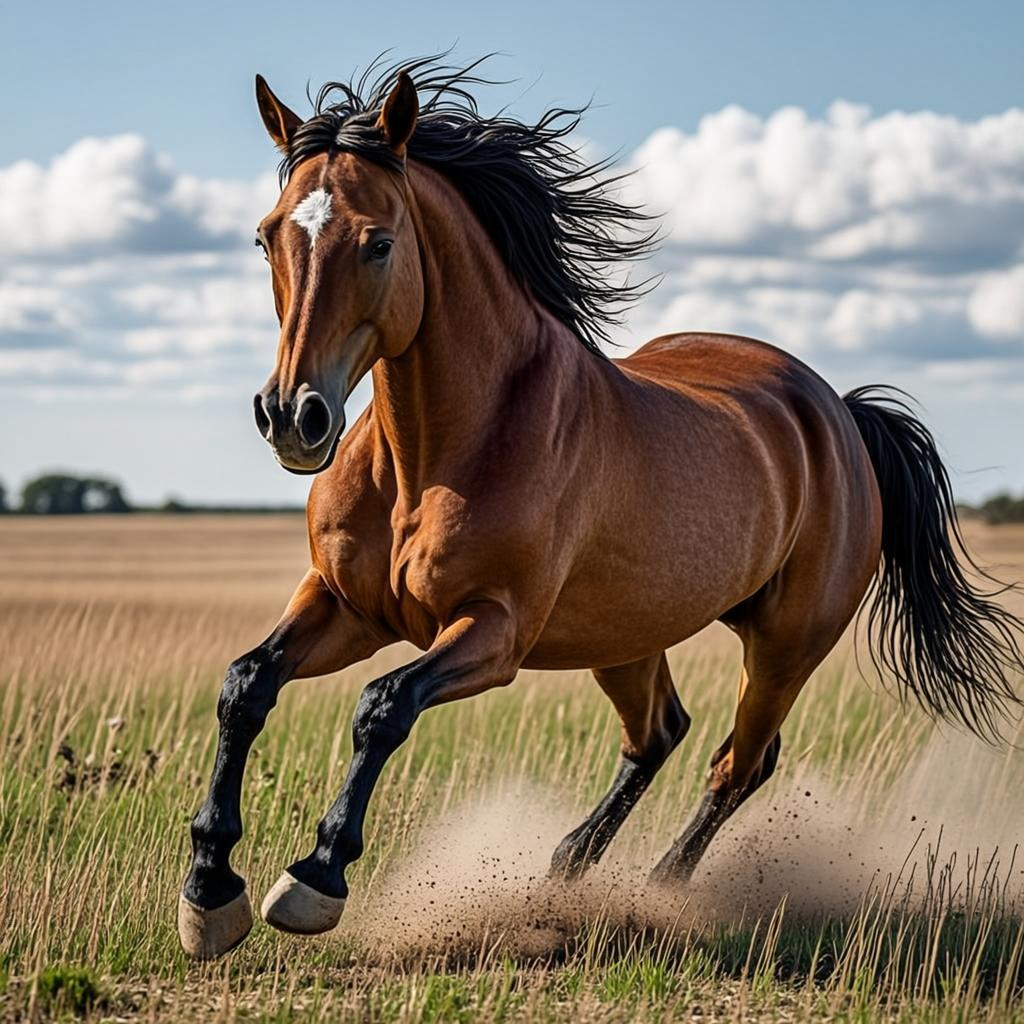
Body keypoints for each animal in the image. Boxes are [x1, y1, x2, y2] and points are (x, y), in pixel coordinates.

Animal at [177, 58, 1024, 960]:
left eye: (378, 242)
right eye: (267, 235)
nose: (292, 416)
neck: (432, 457)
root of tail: (838, 411)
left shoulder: (495, 631)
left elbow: (383, 707)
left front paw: (315, 877)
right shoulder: (347, 604)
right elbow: (246, 684)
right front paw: (210, 889)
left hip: (785, 647)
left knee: (738, 763)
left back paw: (661, 892)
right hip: (626, 636)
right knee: (659, 734)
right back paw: (564, 871)